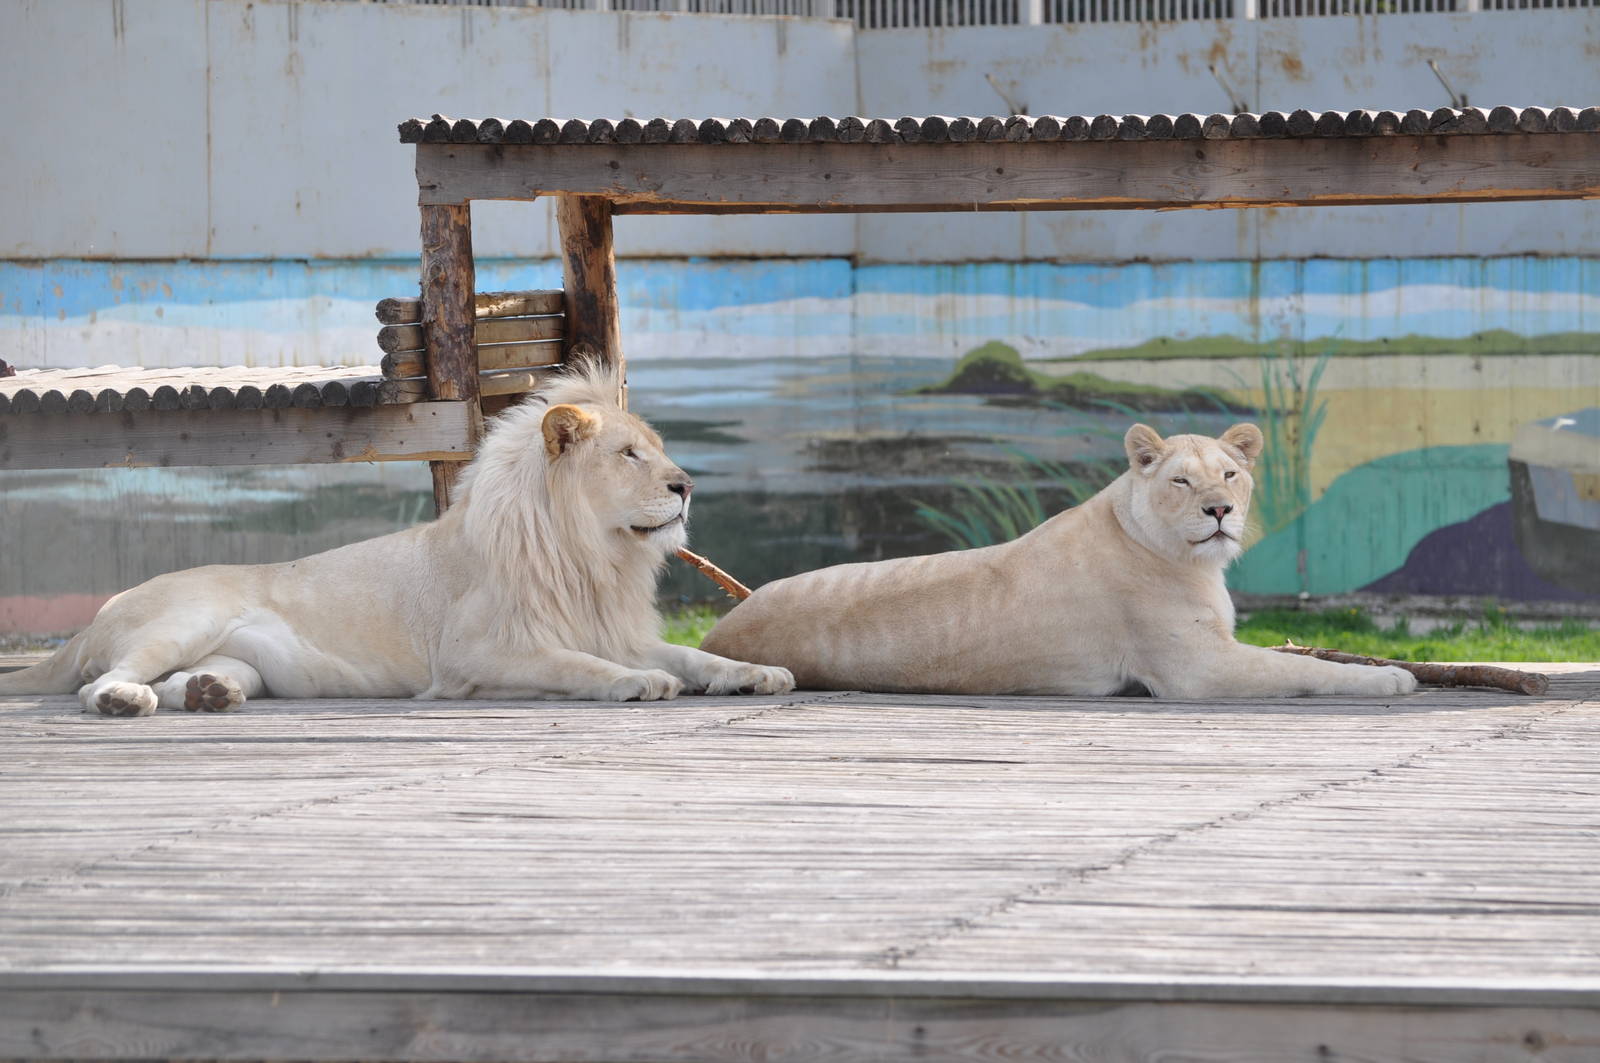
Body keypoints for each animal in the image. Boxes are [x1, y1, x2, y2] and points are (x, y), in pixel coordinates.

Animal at [0, 363, 794, 715]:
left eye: (658, 450)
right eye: (629, 455)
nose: (685, 485)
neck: (594, 558)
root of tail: (97, 615)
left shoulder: (616, 628)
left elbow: (695, 654)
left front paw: (758, 672)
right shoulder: (476, 655)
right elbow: (577, 666)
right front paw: (638, 683)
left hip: (236, 657)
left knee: (194, 677)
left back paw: (209, 692)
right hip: (183, 617)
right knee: (100, 682)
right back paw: (126, 700)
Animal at [702, 422, 1417, 699]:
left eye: (1230, 474)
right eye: (1182, 482)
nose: (1219, 511)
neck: (1188, 560)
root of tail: (721, 630)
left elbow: (1307, 656)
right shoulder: (1196, 668)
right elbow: (1300, 670)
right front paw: (1391, 681)